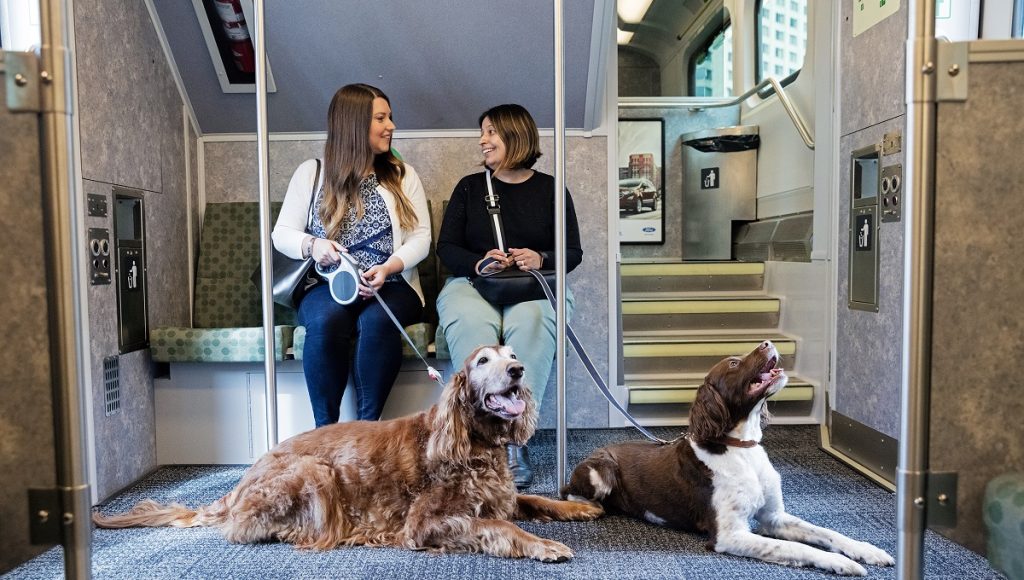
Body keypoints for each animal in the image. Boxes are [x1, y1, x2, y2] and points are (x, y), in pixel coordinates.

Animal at [93, 346, 602, 565]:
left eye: (511, 354)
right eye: (483, 361)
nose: (518, 369)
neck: (474, 443)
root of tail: (239, 483)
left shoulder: (501, 496)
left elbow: (532, 501)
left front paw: (578, 507)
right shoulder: (426, 523)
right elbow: (501, 526)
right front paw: (544, 544)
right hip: (314, 471)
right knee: (261, 531)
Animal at [561, 340, 897, 577]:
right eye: (734, 363)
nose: (767, 342)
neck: (741, 447)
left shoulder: (774, 517)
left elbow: (826, 533)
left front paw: (867, 551)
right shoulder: (729, 535)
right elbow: (794, 547)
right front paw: (840, 563)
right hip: (600, 472)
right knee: (570, 493)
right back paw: (586, 507)